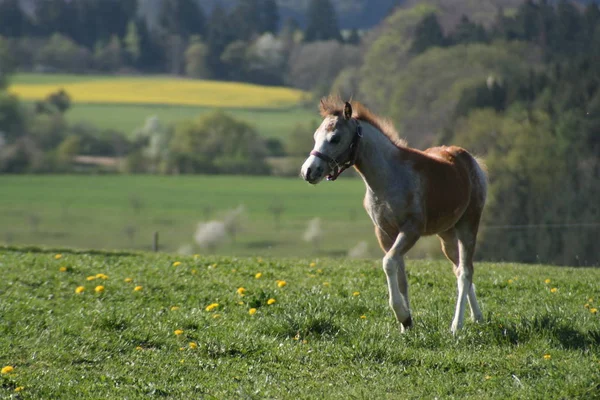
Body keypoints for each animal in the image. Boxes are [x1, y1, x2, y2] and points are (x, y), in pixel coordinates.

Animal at [300, 97, 488, 334]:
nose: (308, 171)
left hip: (468, 225)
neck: (390, 178)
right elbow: (400, 277)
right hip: (446, 234)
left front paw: (402, 315)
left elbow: (388, 263)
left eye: (335, 138)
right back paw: (478, 317)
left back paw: (457, 326)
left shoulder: (411, 230)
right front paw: (406, 324)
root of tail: (472, 161)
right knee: (459, 268)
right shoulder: (384, 233)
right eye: (315, 136)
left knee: (465, 272)